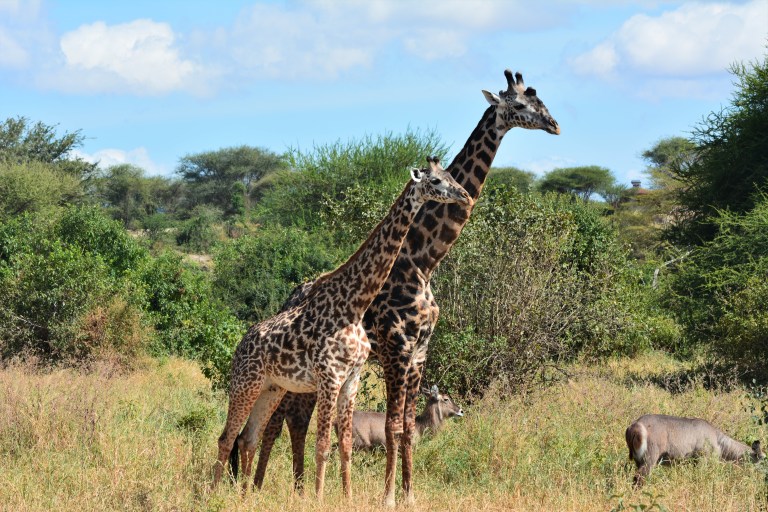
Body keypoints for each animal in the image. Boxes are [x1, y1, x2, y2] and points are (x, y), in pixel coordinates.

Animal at [213, 157, 472, 500]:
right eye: (437, 181)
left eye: (451, 176)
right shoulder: (329, 376)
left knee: (248, 437)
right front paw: (317, 498)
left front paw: (346, 497)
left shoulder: (352, 379)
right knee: (227, 437)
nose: (465, 196)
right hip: (246, 383)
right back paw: (210, 494)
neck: (355, 305)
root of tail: (240, 345)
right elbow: (323, 444)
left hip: (271, 387)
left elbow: (346, 444)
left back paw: (245, 497)